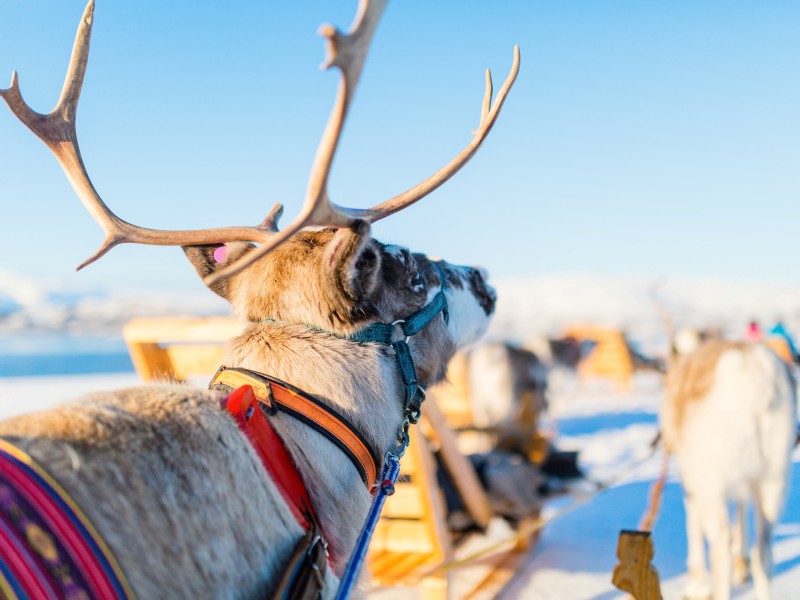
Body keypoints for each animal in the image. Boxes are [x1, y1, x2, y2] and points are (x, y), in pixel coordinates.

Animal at [660, 338, 797, 600]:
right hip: (773, 482)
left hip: (712, 485)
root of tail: (758, 378)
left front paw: (697, 586)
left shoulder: (692, 480)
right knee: (763, 554)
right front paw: (741, 567)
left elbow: (693, 525)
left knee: (720, 549)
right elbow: (740, 515)